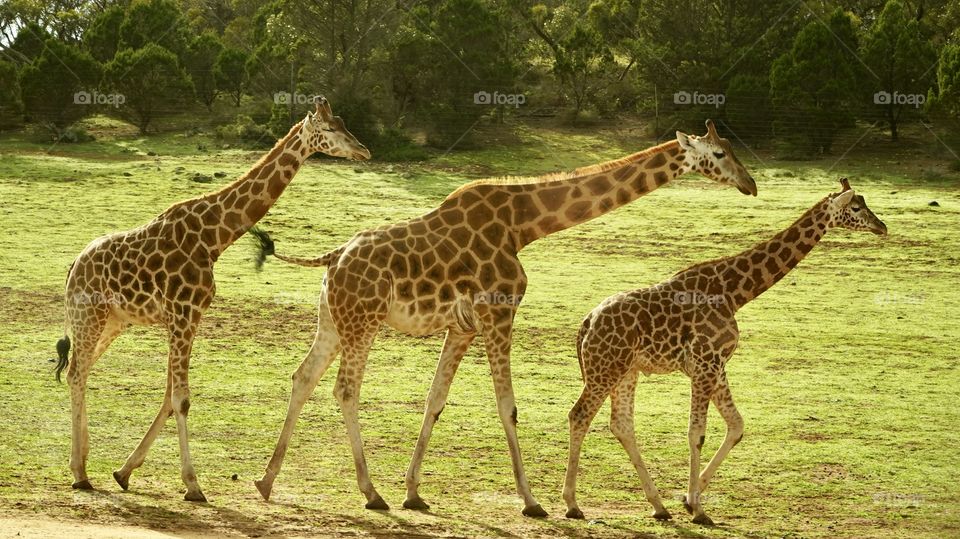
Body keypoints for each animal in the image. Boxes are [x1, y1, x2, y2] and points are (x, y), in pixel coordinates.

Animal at [54, 96, 372, 502]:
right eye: (330, 128)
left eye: (344, 123)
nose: (363, 150)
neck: (214, 237)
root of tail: (72, 267)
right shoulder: (183, 312)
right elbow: (181, 398)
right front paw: (193, 485)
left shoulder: (188, 316)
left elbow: (169, 397)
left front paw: (125, 472)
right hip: (88, 315)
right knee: (77, 373)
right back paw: (79, 472)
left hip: (112, 321)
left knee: (81, 371)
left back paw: (82, 464)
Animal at [249, 120, 756, 516]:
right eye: (718, 153)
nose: (749, 184)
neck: (523, 225)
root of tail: (333, 257)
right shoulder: (499, 312)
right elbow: (507, 406)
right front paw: (532, 502)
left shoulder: (462, 326)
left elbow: (435, 400)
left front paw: (414, 492)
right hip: (363, 321)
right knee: (344, 388)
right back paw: (370, 493)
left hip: (332, 319)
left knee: (303, 376)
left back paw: (266, 481)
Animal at [568, 179, 888, 524]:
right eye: (855, 207)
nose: (881, 226)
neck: (734, 293)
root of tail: (586, 324)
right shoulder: (705, 363)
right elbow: (697, 433)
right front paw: (698, 509)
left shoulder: (717, 366)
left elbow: (737, 426)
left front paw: (688, 500)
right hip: (605, 369)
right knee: (579, 415)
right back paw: (572, 503)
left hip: (626, 370)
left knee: (622, 425)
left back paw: (658, 506)